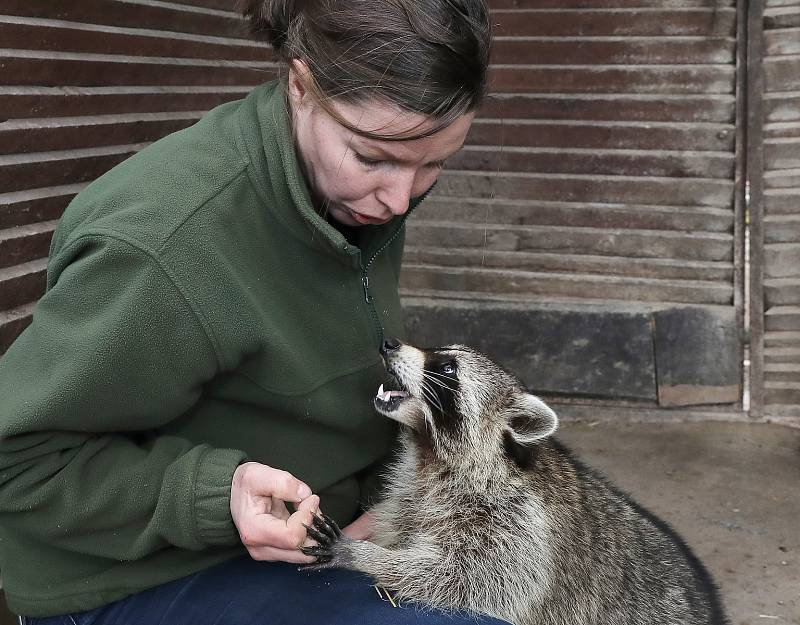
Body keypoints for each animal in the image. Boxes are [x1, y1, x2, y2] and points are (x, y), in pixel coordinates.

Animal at [304, 342, 728, 624]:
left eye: (447, 369)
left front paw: (368, 557)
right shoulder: (413, 491)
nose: (389, 343)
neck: (433, 455)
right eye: (438, 352)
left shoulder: (516, 524)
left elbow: (466, 580)